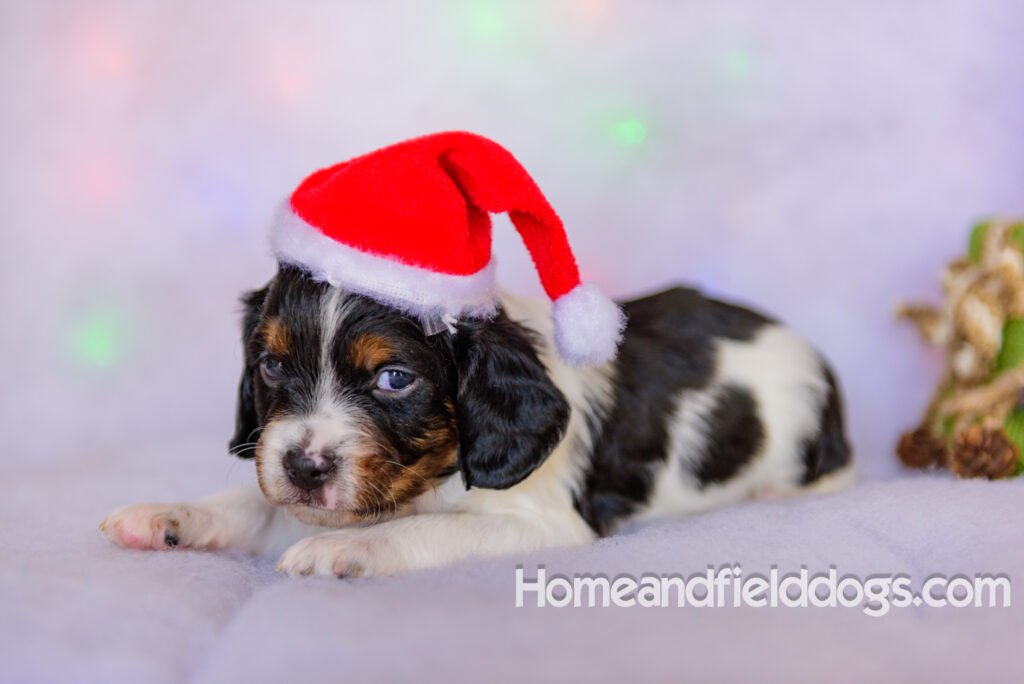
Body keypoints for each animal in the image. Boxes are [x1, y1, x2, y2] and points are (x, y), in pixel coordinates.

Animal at [101, 264, 856, 573]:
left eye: (394, 379)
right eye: (273, 367)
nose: (305, 467)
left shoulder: (544, 520)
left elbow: (431, 529)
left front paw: (341, 551)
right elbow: (254, 500)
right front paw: (165, 516)